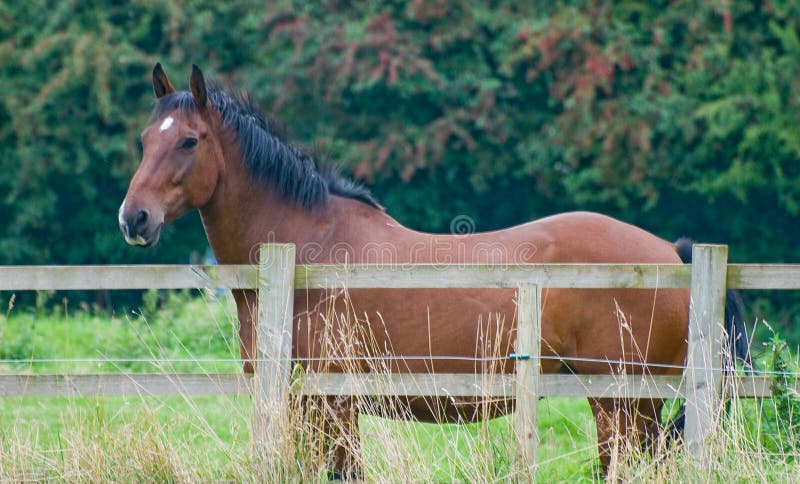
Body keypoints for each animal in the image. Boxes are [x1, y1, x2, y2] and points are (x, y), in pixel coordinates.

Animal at [119, 63, 744, 476]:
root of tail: (669, 252)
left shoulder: (330, 404)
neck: (304, 255)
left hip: (621, 402)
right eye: (145, 139)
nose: (134, 218)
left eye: (191, 141)